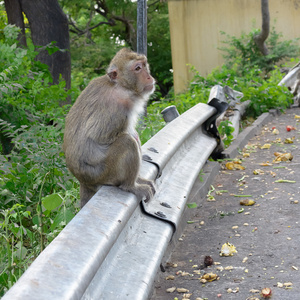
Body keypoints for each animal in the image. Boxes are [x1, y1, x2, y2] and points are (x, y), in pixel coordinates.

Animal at [63, 48, 157, 207]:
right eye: (137, 68)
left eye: (144, 65)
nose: (149, 77)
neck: (120, 86)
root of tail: (83, 181)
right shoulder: (116, 109)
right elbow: (100, 137)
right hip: (105, 174)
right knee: (127, 141)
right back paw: (131, 186)